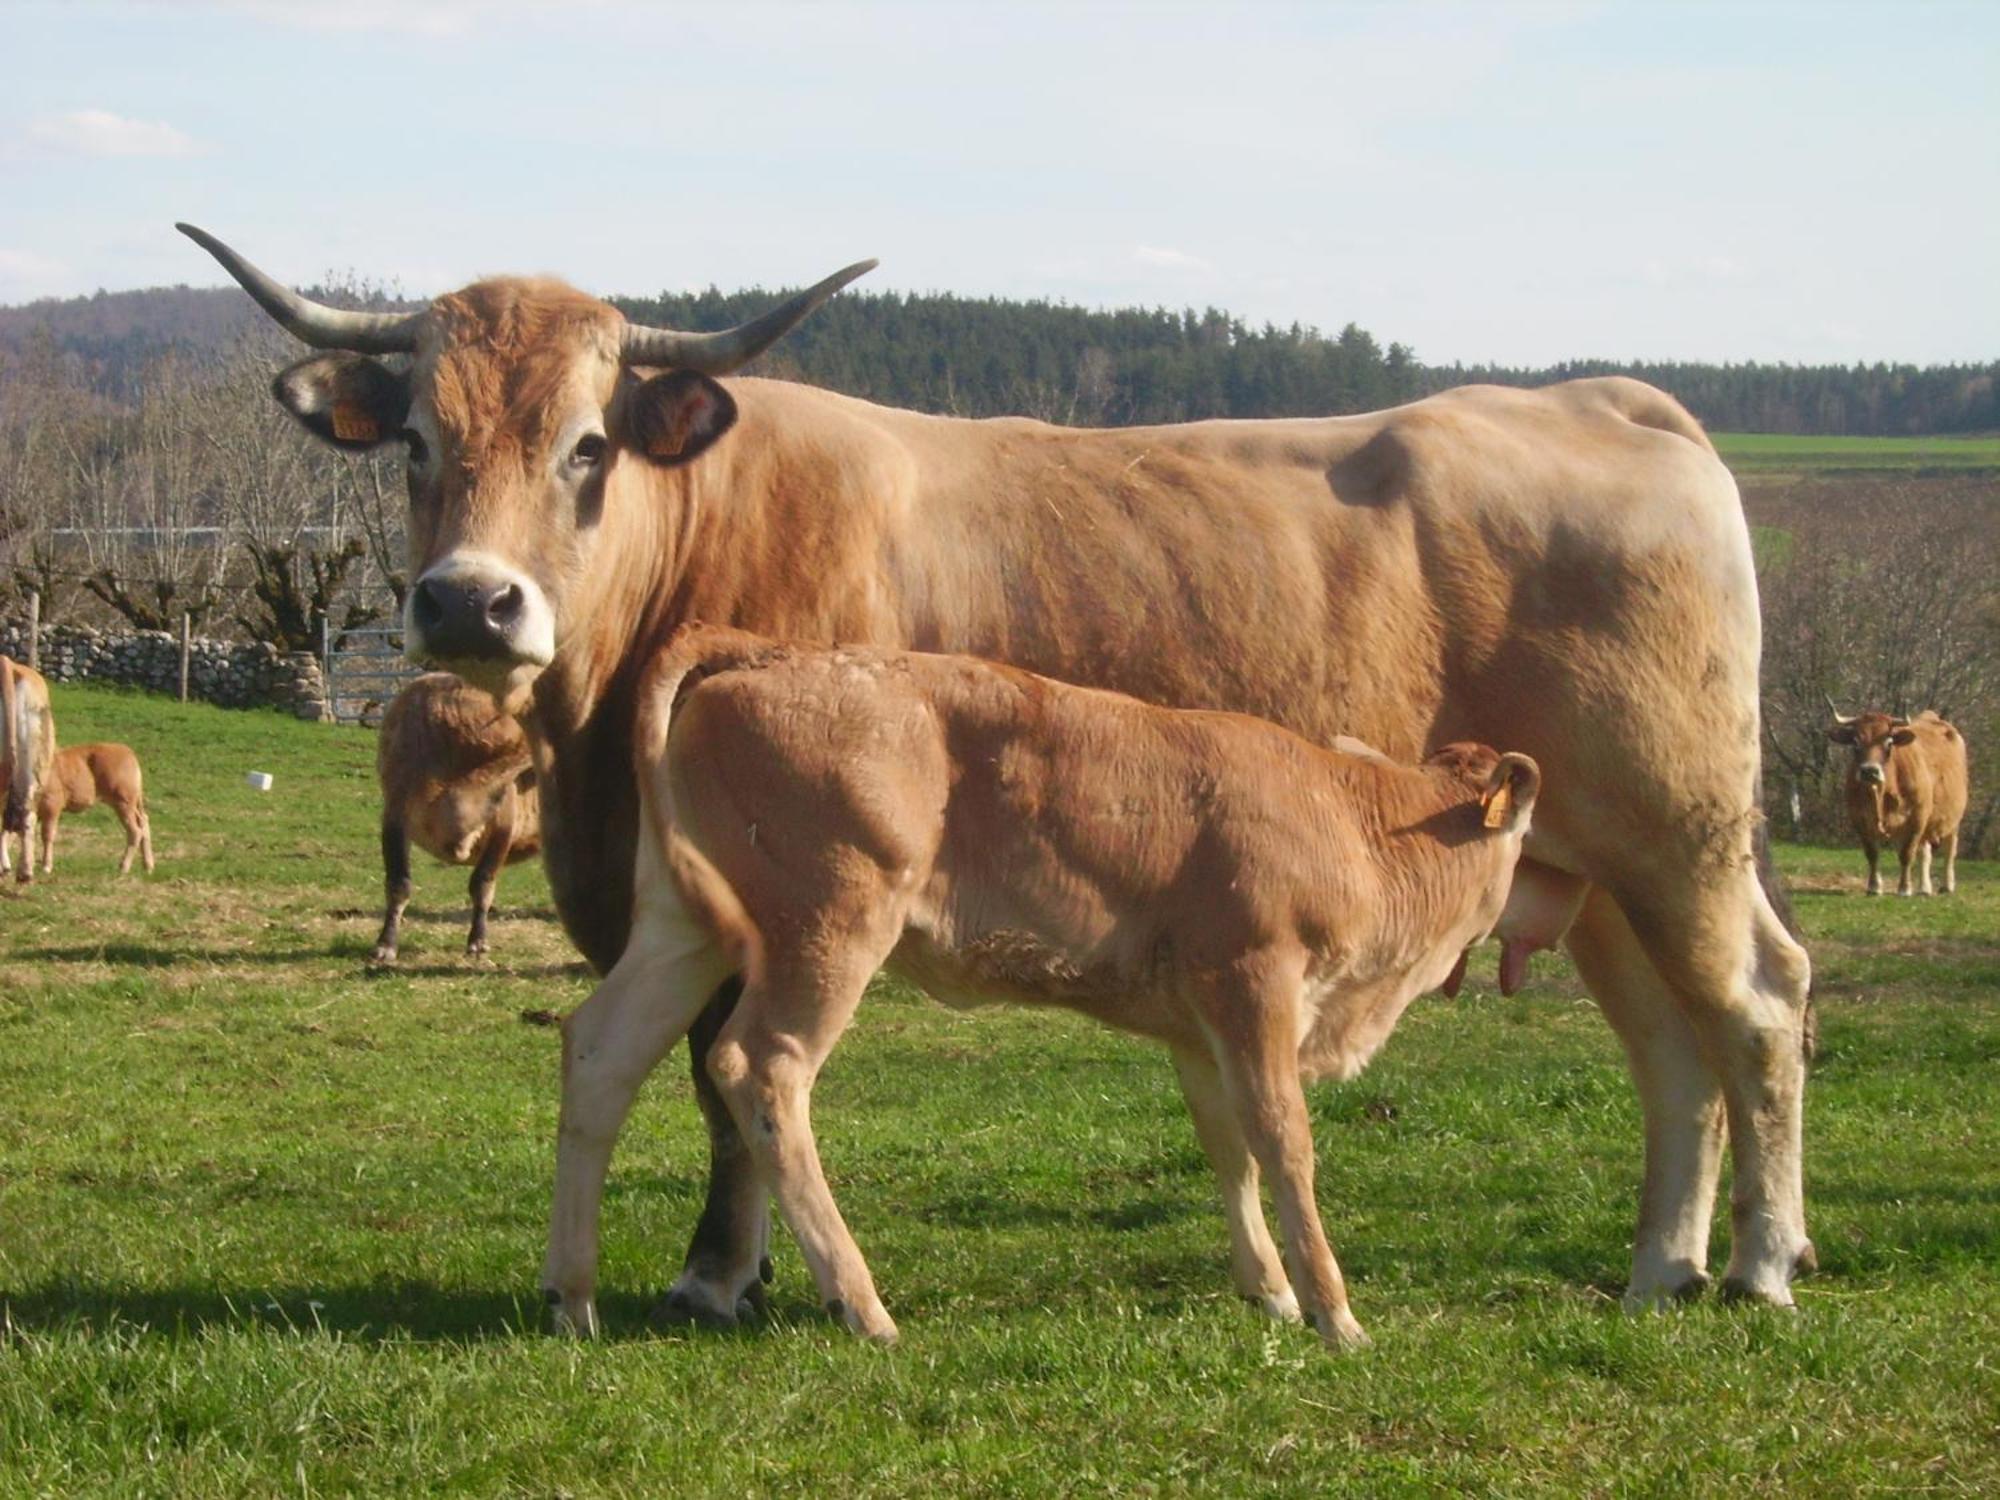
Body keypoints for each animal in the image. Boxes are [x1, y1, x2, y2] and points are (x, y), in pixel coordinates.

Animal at [374, 672, 540, 964]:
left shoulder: (504, 824)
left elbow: (482, 883)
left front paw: (478, 941)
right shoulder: (394, 815)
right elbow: (398, 884)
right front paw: (386, 944)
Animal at [540, 628, 1536, 1360]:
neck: (1356, 822)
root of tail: (767, 650)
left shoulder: (1198, 1024)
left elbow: (1228, 1148)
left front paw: (1270, 1290)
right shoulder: (1256, 980)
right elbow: (1283, 1142)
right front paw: (1336, 1315)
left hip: (685, 928)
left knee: (601, 1050)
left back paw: (570, 1298)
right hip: (829, 926)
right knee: (760, 1068)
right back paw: (861, 1304)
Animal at [1832, 712, 1968, 900]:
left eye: (1889, 742)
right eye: (1855, 742)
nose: (1869, 771)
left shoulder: (1917, 818)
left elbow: (1906, 854)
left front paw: (1904, 888)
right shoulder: (1859, 819)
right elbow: (1872, 854)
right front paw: (1874, 887)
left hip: (1953, 819)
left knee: (1950, 850)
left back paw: (1947, 885)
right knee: (1925, 853)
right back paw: (1924, 888)